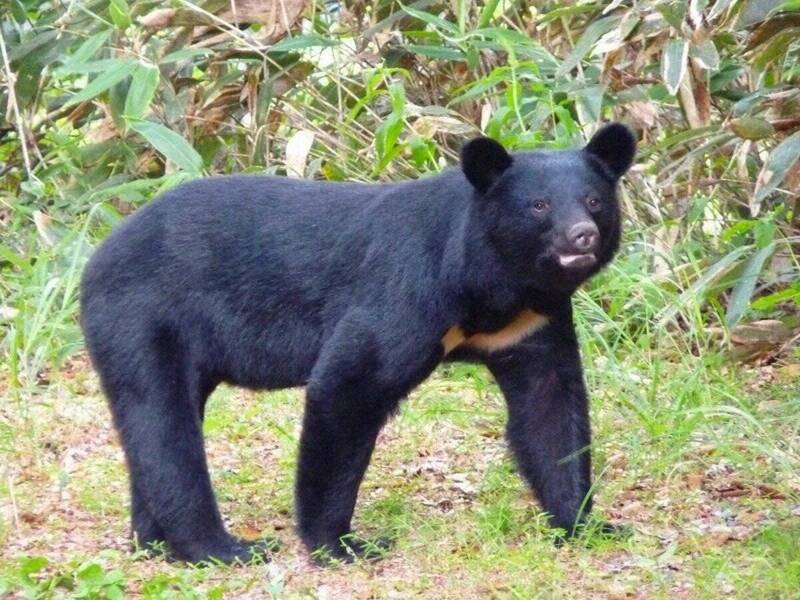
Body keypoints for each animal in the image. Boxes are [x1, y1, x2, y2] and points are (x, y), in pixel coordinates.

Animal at [80, 122, 636, 564]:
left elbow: (550, 410)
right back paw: (221, 548)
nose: (582, 236)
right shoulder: (408, 293)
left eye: (594, 201)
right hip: (142, 318)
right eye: (539, 206)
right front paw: (340, 544)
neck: (499, 284)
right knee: (163, 426)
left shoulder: (532, 323)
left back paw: (154, 543)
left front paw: (588, 525)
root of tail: (98, 254)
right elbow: (346, 387)